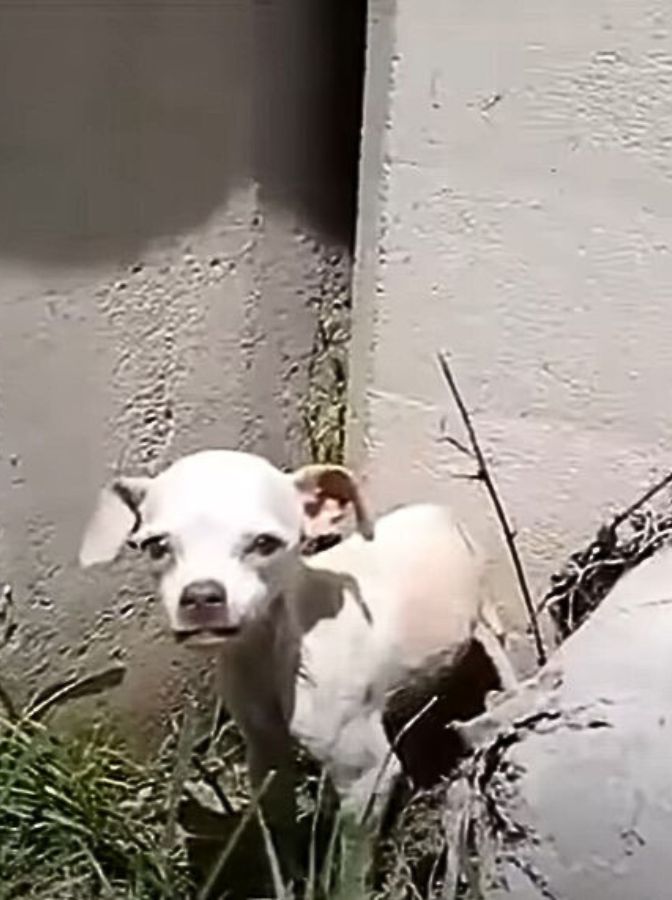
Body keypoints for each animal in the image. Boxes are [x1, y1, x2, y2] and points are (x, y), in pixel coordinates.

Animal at [79, 450, 516, 856]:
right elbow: (280, 835)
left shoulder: (365, 774)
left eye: (264, 544)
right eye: (156, 546)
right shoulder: (264, 751)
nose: (201, 596)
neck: (274, 651)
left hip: (487, 623)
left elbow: (348, 867)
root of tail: (440, 512)